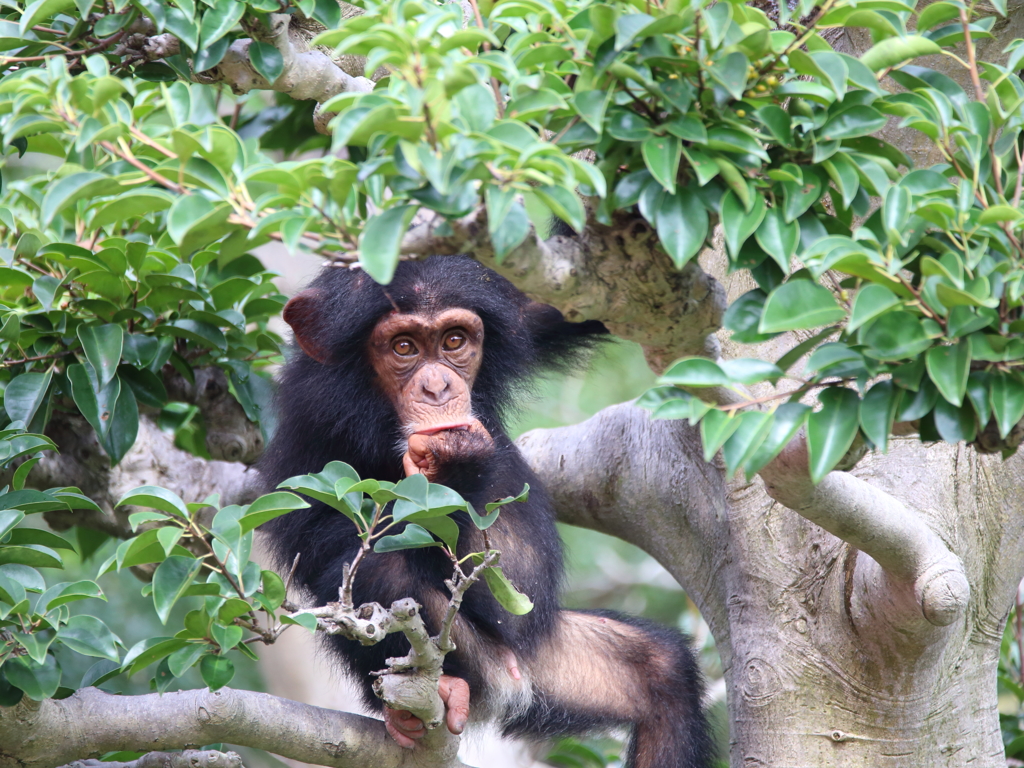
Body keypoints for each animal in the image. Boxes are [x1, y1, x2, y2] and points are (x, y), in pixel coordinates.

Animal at [256, 259, 712, 768]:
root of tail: (508, 688)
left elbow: (587, 298)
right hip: (462, 652)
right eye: (403, 347)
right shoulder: (313, 418)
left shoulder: (520, 313)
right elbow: (327, 531)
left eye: (454, 341)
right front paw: (453, 465)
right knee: (377, 568)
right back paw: (439, 693)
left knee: (661, 674)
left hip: (554, 664)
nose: (437, 386)